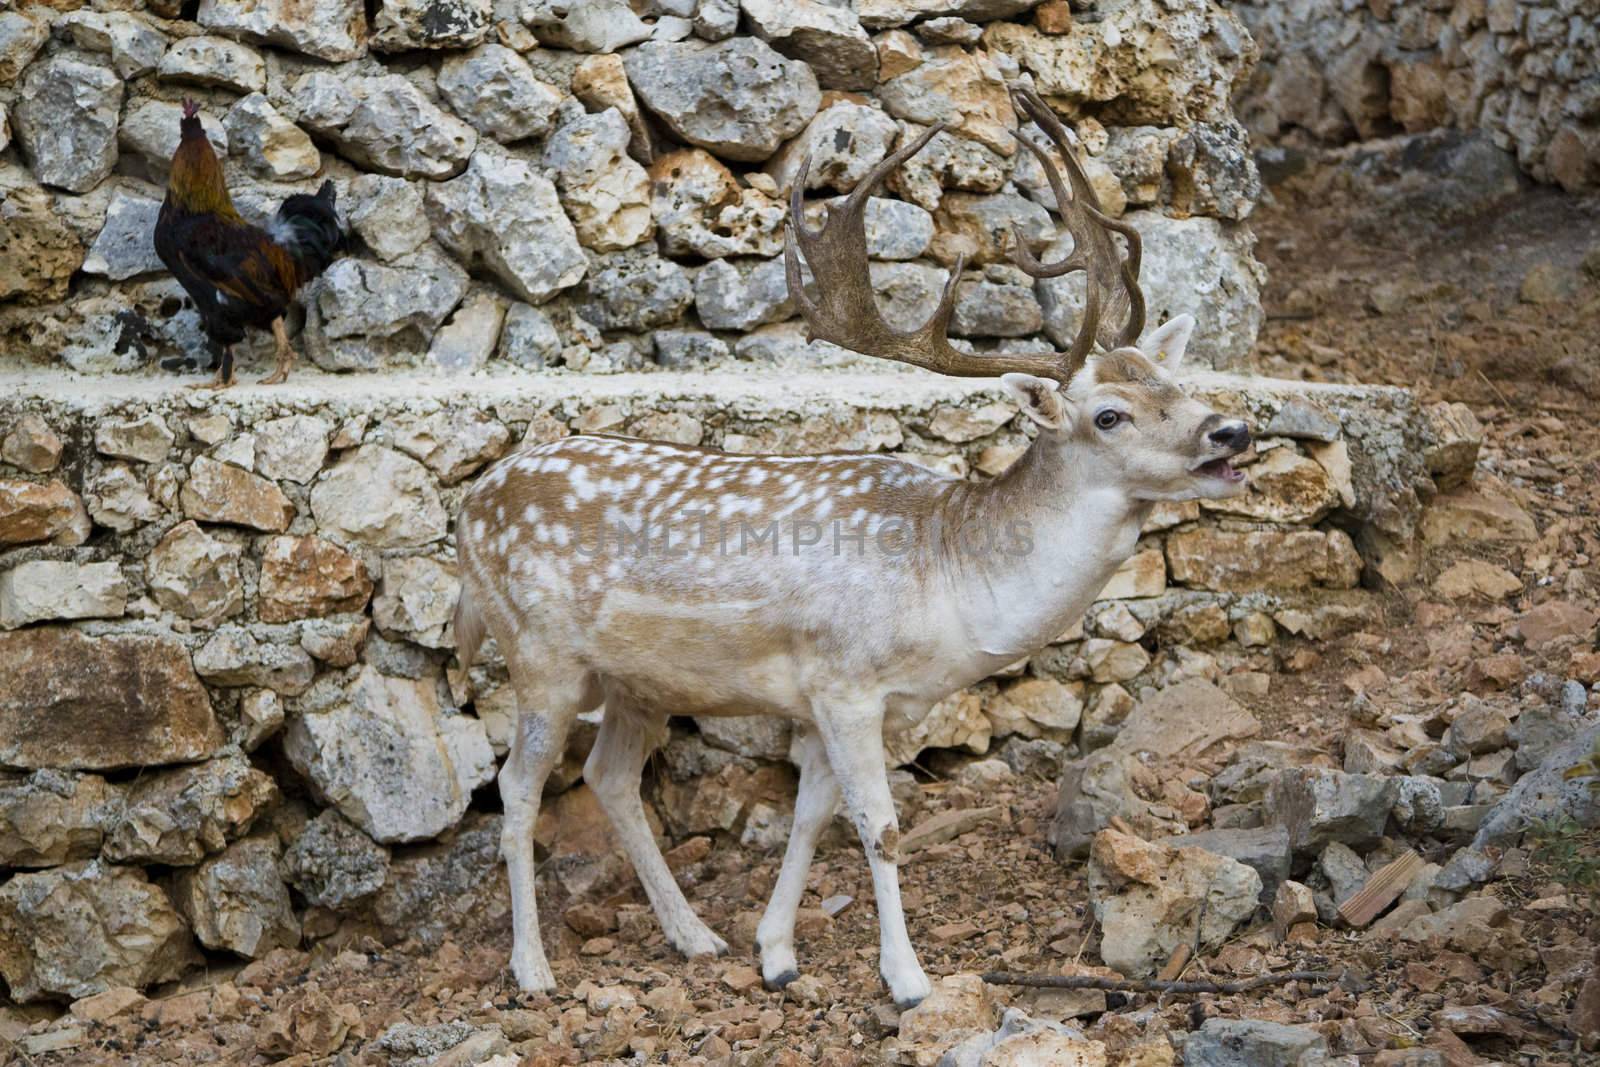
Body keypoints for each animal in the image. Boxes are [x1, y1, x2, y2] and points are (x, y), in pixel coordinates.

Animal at [451, 87, 1248, 1004]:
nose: (1232, 430)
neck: (950, 581)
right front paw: (908, 979)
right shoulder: (845, 681)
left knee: (609, 778)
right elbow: (882, 825)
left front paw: (775, 952)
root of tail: (469, 506)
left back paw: (695, 937)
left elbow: (811, 814)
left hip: (638, 680)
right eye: (1109, 414)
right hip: (538, 652)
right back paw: (533, 968)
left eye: (1174, 385)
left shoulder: (843, 698)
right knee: (517, 787)